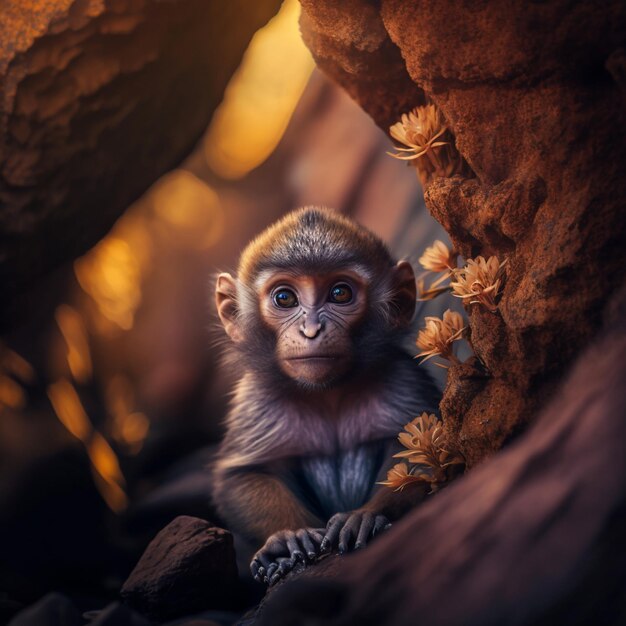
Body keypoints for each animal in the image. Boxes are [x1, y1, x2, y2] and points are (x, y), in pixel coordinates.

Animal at [213, 207, 438, 584]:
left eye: (340, 293)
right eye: (284, 298)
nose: (311, 330)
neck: (328, 395)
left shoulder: (402, 379)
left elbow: (425, 451)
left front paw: (363, 516)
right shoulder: (256, 400)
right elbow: (242, 476)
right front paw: (288, 536)